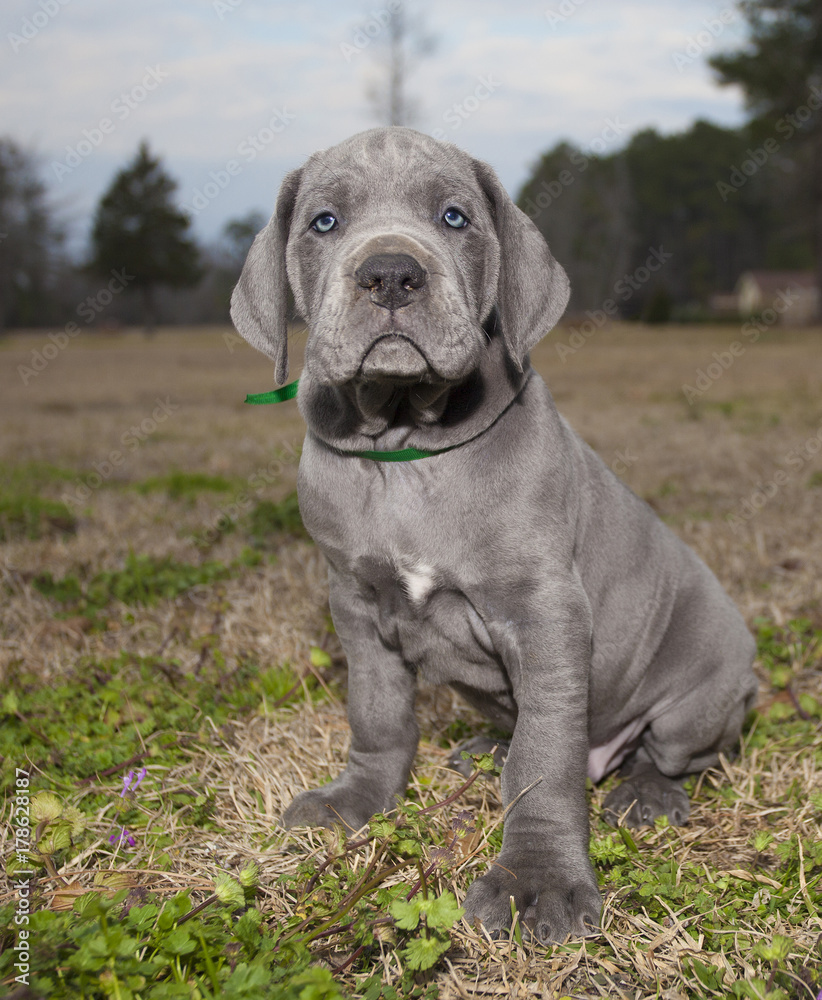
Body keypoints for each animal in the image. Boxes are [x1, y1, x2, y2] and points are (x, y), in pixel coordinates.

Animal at [230, 127, 760, 944]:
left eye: (455, 217)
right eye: (323, 222)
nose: (391, 273)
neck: (408, 449)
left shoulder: (543, 613)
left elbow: (544, 758)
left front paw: (537, 882)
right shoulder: (355, 605)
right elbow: (376, 714)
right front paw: (356, 800)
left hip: (702, 688)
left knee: (665, 752)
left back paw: (645, 794)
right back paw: (485, 748)